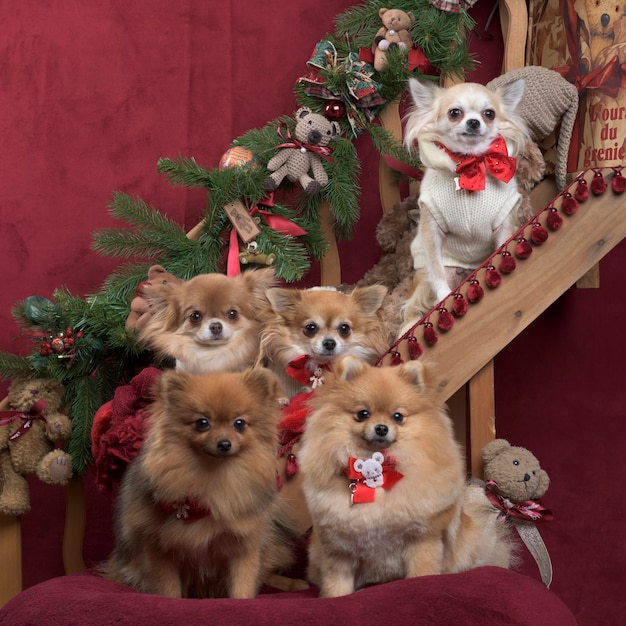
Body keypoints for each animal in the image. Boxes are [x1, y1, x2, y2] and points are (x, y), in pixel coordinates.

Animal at [99, 368, 300, 596]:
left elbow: (243, 584)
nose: (224, 443)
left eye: (239, 424)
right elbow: (168, 589)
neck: (213, 478)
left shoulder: (245, 547)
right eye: (202, 423)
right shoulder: (159, 548)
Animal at [298, 356, 512, 596]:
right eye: (363, 414)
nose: (381, 428)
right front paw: (335, 597)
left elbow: (421, 569)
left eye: (398, 416)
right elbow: (336, 582)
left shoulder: (423, 537)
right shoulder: (339, 548)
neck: (380, 469)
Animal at [402, 77, 528, 322]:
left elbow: (502, 248)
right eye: (454, 113)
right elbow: (437, 271)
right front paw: (444, 297)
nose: (473, 122)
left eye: (489, 114)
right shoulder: (431, 231)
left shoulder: (504, 222)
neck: (472, 164)